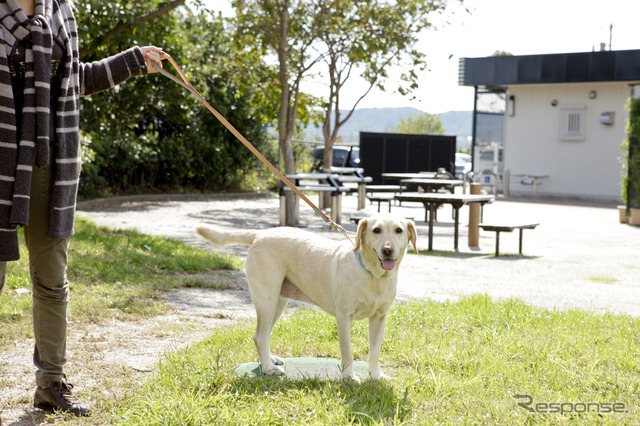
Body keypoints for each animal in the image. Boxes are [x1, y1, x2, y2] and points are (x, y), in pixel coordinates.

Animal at [196, 215, 416, 382]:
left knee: (263, 335)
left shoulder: (379, 318)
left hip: (278, 303)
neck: (374, 276)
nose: (387, 250)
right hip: (267, 299)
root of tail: (261, 233)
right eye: (376, 230)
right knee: (259, 336)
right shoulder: (343, 318)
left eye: (398, 230)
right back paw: (268, 368)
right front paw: (348, 377)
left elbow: (375, 351)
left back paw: (270, 360)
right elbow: (347, 352)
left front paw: (376, 375)